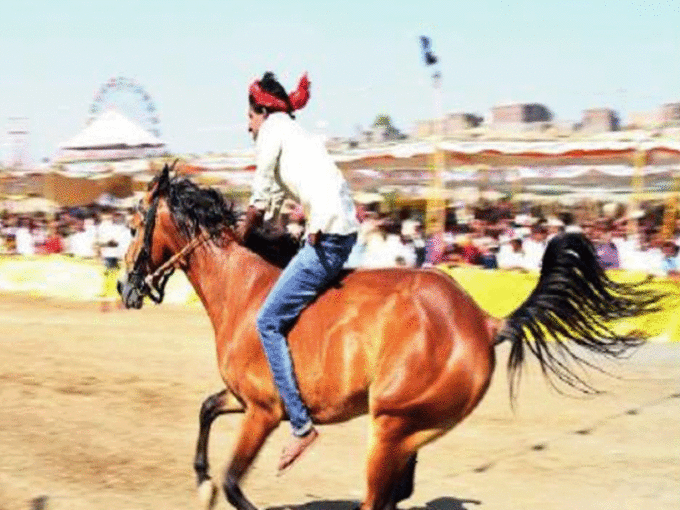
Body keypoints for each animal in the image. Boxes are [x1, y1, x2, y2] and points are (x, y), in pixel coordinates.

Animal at [119, 164, 660, 510]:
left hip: (390, 427)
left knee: (377, 500)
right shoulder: (243, 399)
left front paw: (216, 482)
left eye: (134, 222)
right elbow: (206, 410)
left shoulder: (266, 412)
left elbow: (233, 482)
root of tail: (484, 321)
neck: (245, 289)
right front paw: (200, 480)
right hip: (408, 435)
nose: (125, 286)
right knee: (395, 497)